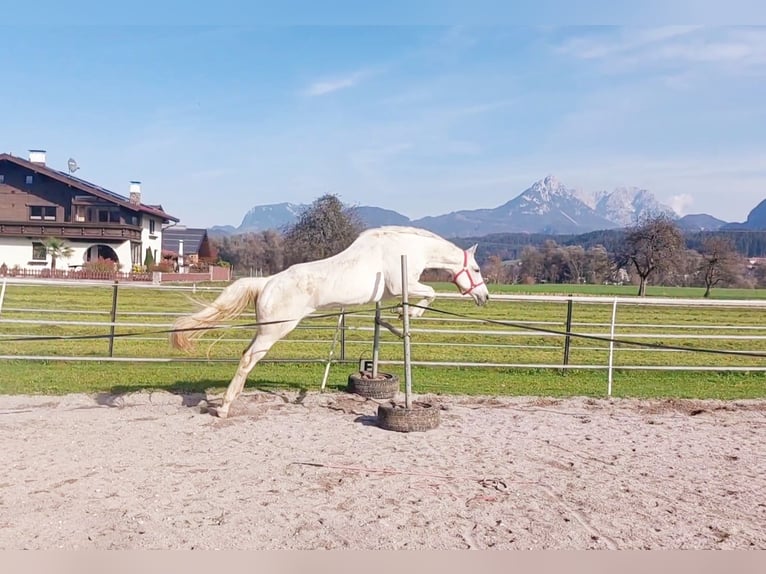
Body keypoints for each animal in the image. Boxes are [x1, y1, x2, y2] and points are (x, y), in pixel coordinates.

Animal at [171, 225, 488, 418]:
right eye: (475, 269)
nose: (484, 296)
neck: (407, 247)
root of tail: (266, 283)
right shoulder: (402, 286)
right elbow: (430, 292)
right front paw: (409, 314)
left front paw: (405, 314)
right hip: (274, 331)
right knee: (249, 359)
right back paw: (225, 407)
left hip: (265, 330)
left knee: (244, 356)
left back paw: (231, 398)